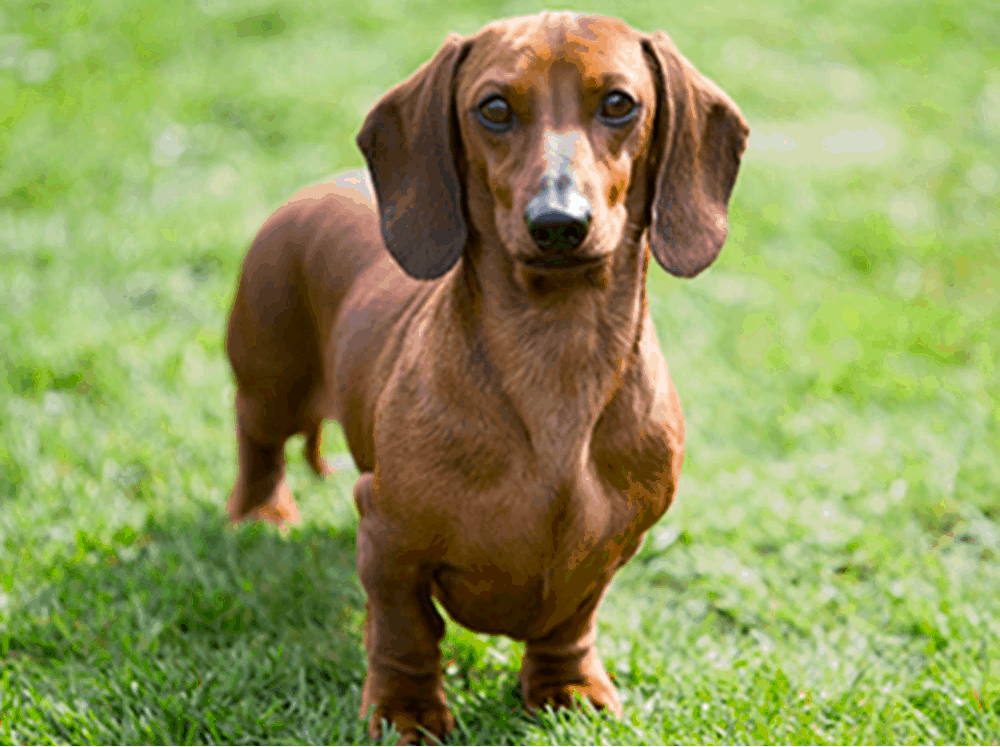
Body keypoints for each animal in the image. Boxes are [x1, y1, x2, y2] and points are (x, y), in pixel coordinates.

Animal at [225, 13, 744, 747]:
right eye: (493, 108)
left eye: (620, 102)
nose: (558, 224)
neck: (556, 351)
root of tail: (319, 187)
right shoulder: (387, 535)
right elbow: (406, 632)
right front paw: (406, 710)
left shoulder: (610, 547)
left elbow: (570, 624)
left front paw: (567, 689)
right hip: (270, 378)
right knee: (259, 442)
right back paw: (262, 517)